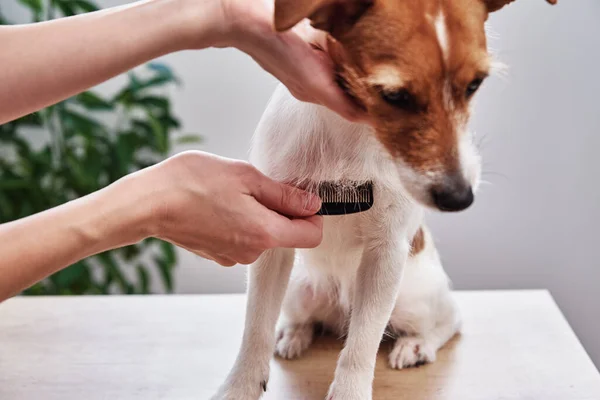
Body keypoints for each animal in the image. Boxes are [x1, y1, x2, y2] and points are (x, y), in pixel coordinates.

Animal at [212, 0, 556, 400]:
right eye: (395, 96)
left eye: (474, 84)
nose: (459, 197)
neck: (351, 135)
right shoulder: (274, 240)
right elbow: (256, 326)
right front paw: (240, 385)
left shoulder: (386, 253)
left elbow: (363, 342)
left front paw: (350, 390)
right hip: (300, 288)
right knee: (306, 318)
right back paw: (294, 334)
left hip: (412, 297)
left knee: (450, 319)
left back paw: (416, 344)